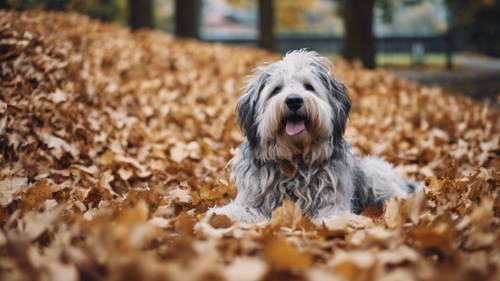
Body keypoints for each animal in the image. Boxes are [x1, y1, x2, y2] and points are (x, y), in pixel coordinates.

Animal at [209, 49, 420, 222]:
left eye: (308, 87)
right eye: (276, 90)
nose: (294, 100)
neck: (295, 159)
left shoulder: (331, 202)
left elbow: (332, 216)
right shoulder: (253, 200)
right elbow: (236, 211)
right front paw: (218, 215)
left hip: (376, 173)